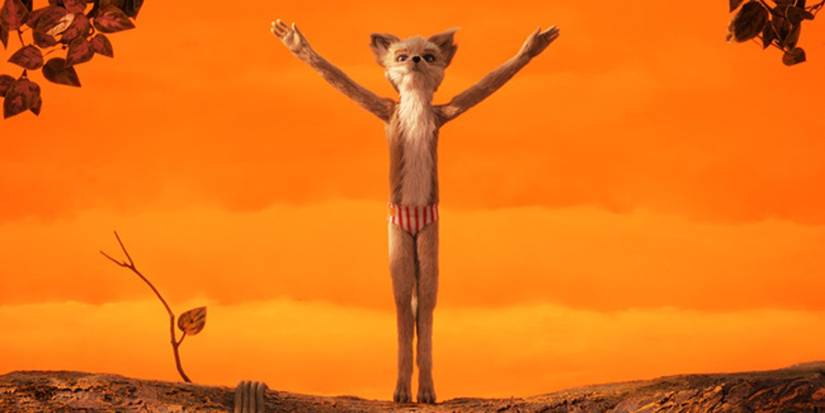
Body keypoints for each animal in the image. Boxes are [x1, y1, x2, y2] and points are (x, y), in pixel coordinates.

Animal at [234, 18, 560, 411]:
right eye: (401, 56)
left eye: (429, 56)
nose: (416, 60)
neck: (417, 104)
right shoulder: (387, 110)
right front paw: (295, 42)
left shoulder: (443, 113)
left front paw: (532, 46)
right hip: (400, 237)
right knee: (405, 302)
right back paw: (404, 391)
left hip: (429, 236)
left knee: (427, 302)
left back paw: (426, 392)